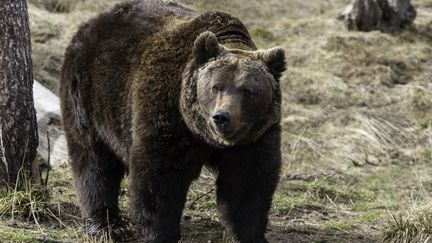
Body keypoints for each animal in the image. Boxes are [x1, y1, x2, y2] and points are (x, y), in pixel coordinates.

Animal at [59, 0, 286, 242]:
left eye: (246, 90)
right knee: (94, 161)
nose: (222, 117)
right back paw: (107, 224)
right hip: (89, 97)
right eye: (215, 87)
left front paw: (251, 234)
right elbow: (159, 178)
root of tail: (93, 21)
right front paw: (159, 232)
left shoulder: (255, 136)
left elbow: (247, 182)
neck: (202, 133)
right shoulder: (167, 113)